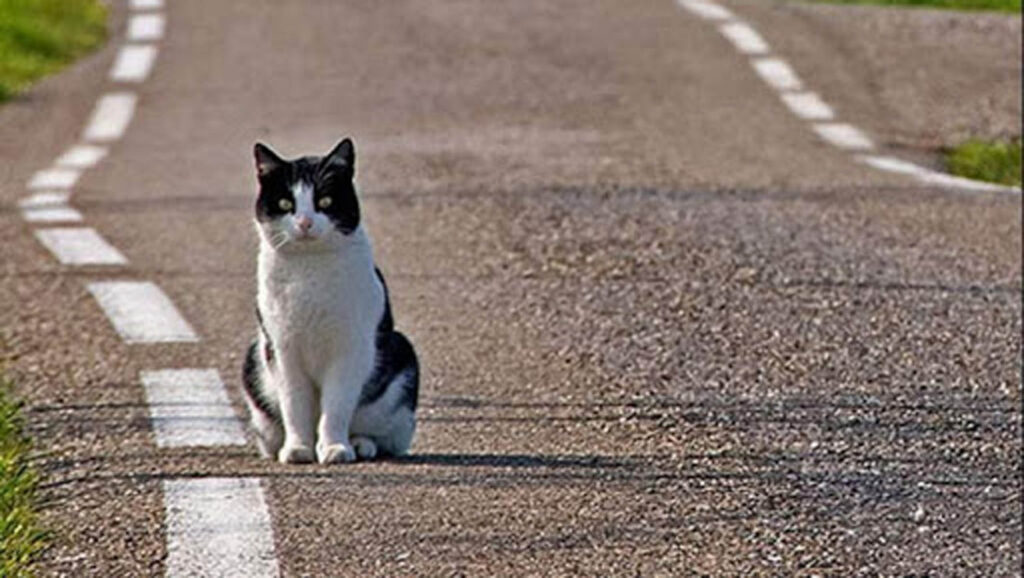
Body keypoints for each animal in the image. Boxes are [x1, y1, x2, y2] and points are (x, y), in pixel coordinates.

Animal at [241, 136, 417, 465]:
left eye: (324, 202)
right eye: (285, 204)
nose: (305, 222)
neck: (310, 269)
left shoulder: (350, 348)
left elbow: (336, 405)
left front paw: (335, 448)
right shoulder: (282, 349)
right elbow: (294, 404)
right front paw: (298, 448)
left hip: (402, 360)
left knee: (380, 434)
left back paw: (359, 444)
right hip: (254, 364)